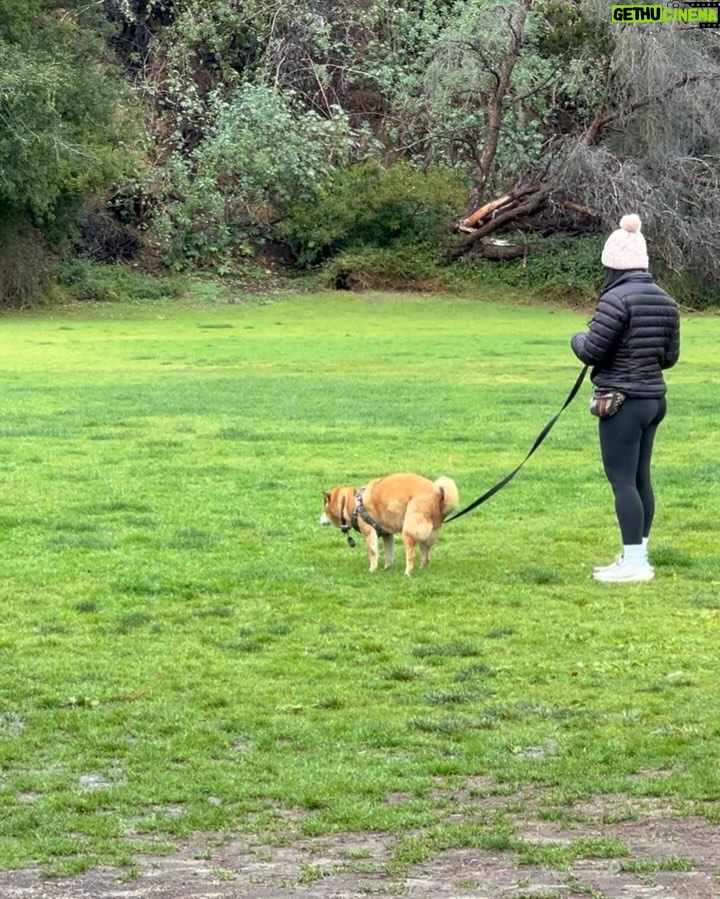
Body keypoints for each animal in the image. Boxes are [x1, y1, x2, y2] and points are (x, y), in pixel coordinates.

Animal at [320, 472, 458, 576]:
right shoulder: (387, 535)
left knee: (411, 556)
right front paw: (387, 568)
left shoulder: (369, 533)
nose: (318, 519)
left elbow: (373, 552)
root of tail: (439, 496)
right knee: (426, 557)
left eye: (324, 510)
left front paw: (372, 570)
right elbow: (389, 554)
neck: (353, 503)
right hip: (426, 537)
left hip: (408, 531)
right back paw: (422, 570)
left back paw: (407, 573)